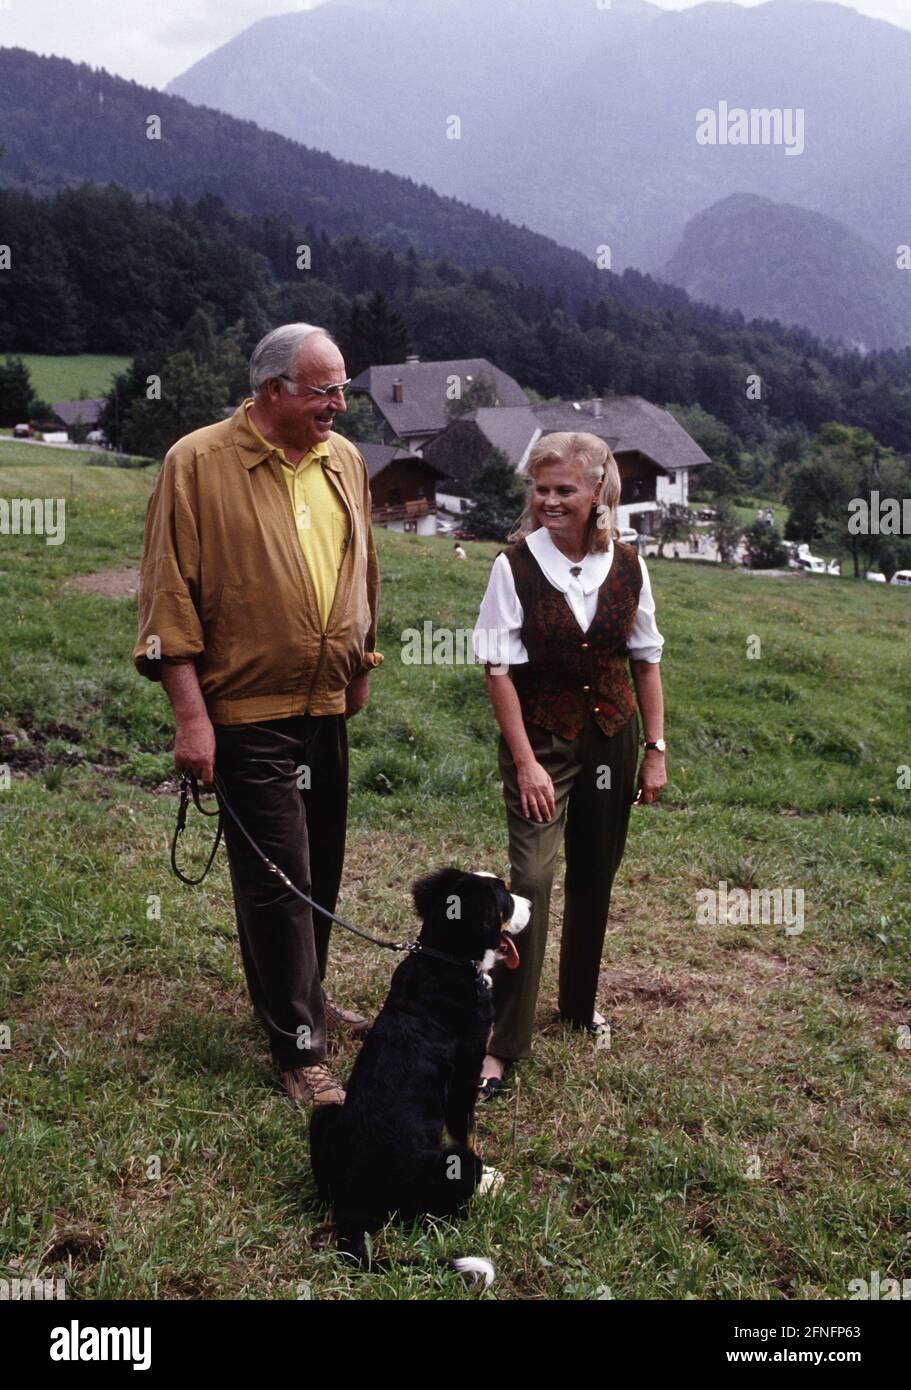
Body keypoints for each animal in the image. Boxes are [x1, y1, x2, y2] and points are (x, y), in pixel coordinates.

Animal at [310, 867, 531, 1273]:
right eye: (506, 897)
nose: (531, 904)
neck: (445, 960)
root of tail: (355, 1207)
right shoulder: (465, 1077)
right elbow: (466, 1132)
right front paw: (492, 1179)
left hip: (326, 1113)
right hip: (453, 1167)